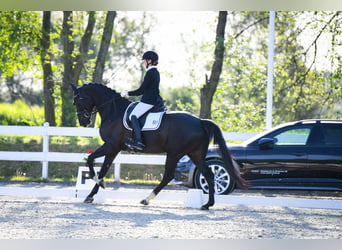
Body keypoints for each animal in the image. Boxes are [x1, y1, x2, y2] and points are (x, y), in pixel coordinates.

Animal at [72, 83, 247, 210]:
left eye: (79, 100)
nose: (83, 122)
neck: (114, 112)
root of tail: (200, 121)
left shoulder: (111, 146)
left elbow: (95, 163)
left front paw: (96, 187)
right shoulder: (113, 148)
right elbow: (97, 164)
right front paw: (93, 190)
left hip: (175, 153)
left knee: (168, 176)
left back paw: (146, 199)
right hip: (195, 154)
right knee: (209, 175)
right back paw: (207, 204)